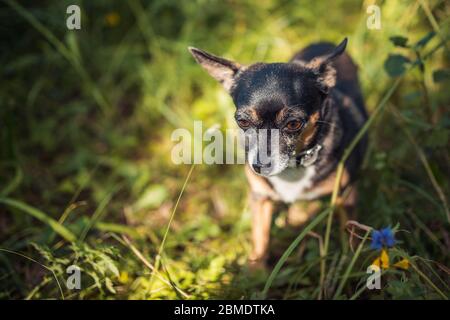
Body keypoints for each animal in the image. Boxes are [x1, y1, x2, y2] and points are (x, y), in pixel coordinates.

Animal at [188, 38, 368, 268]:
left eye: (293, 124)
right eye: (242, 121)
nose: (259, 166)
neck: (294, 167)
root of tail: (321, 41)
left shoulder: (346, 196)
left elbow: (351, 233)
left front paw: (350, 264)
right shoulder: (260, 198)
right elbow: (260, 239)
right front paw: (254, 271)